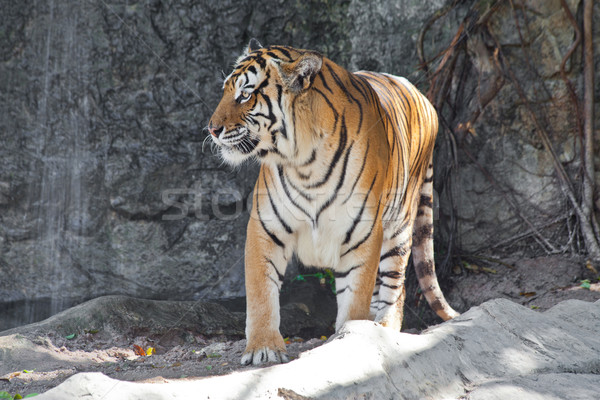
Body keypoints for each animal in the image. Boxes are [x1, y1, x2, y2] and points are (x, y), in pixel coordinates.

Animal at [207, 40, 460, 366]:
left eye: (246, 95)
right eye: (226, 91)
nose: (212, 129)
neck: (304, 162)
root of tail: (423, 97)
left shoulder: (364, 231)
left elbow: (355, 296)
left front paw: (351, 340)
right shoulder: (266, 227)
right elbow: (261, 292)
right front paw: (263, 348)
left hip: (400, 227)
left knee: (395, 286)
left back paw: (384, 328)